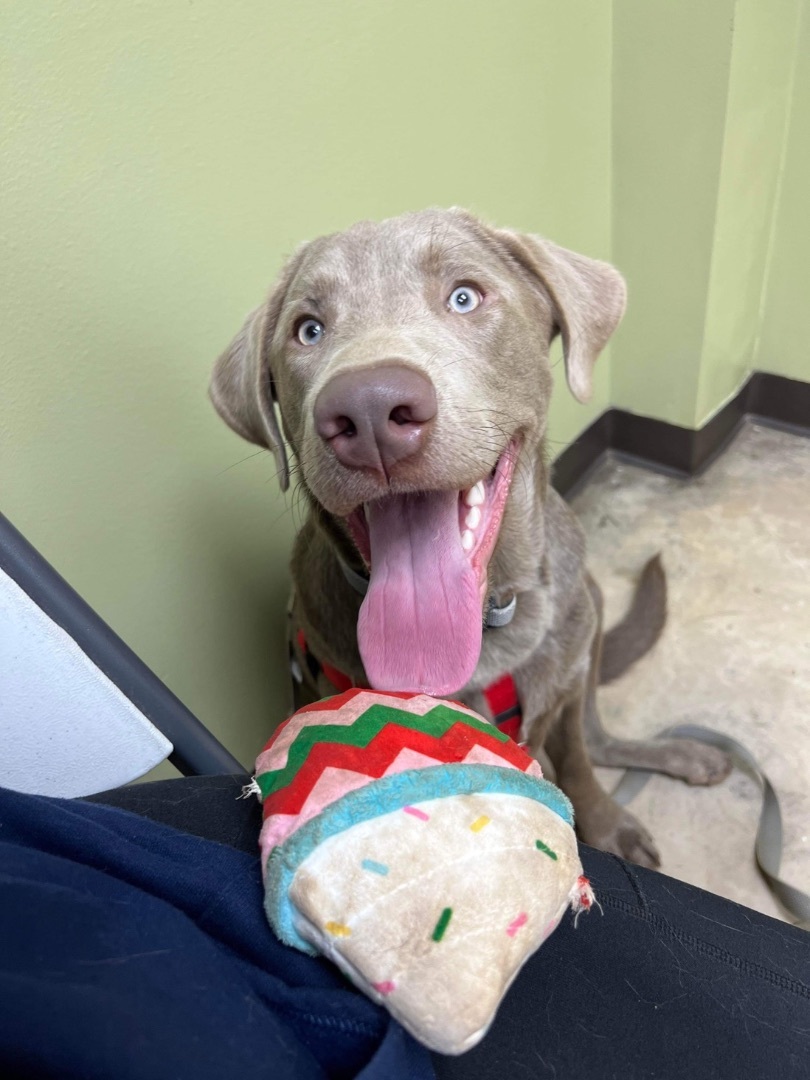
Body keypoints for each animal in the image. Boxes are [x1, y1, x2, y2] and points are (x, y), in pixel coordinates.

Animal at [209, 208, 730, 868]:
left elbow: (580, 762)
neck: (493, 618)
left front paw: (607, 824)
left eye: (464, 297)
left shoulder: (563, 684)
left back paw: (682, 754)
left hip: (588, 619)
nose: (370, 411)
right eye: (308, 330)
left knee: (599, 735)